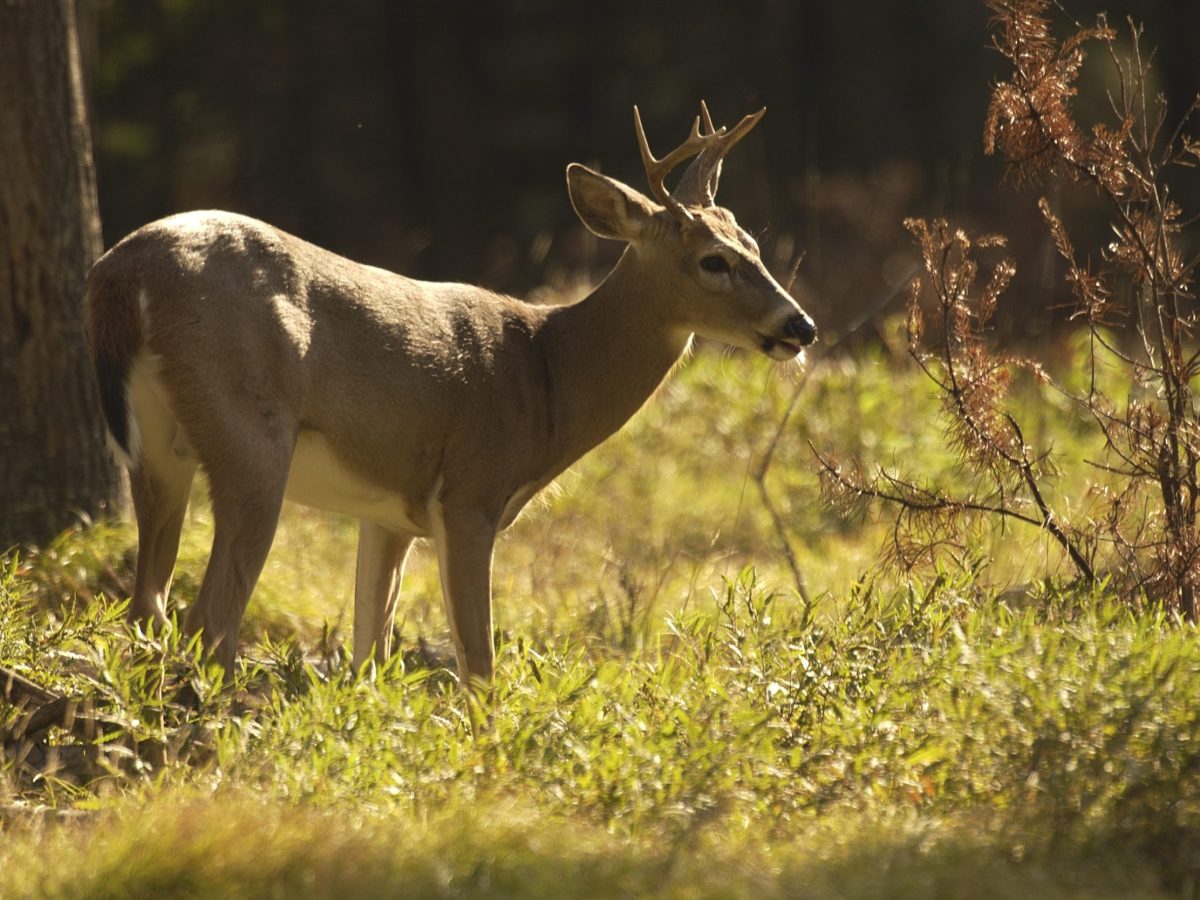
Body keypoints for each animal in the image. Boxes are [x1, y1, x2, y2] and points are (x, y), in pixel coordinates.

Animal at [84, 102, 817, 686]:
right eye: (712, 260)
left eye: (753, 244)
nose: (799, 326)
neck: (545, 376)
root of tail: (122, 274)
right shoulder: (470, 493)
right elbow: (478, 663)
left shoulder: (388, 513)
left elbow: (369, 651)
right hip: (251, 439)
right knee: (209, 618)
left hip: (158, 453)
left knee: (147, 605)